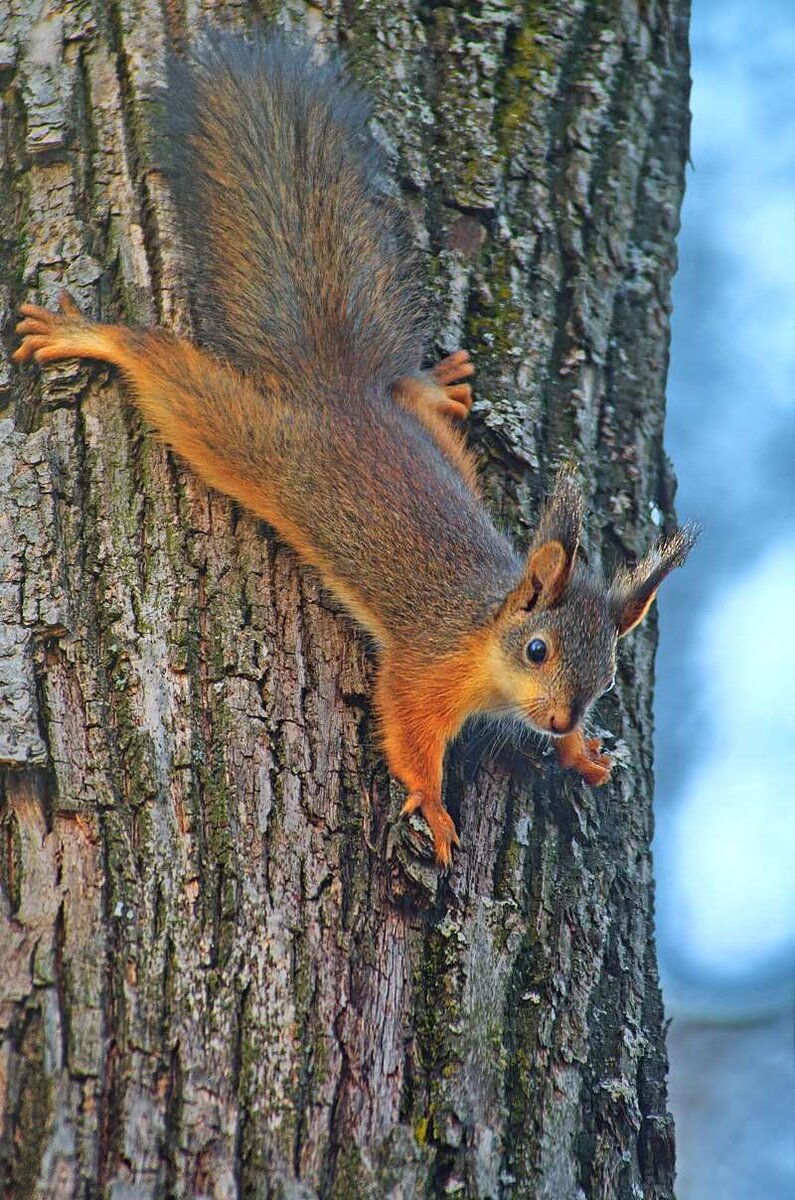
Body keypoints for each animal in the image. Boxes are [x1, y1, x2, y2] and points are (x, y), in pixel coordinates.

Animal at [12, 32, 696, 868]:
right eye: (537, 650)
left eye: (606, 675)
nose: (566, 718)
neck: (483, 637)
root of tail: (335, 387)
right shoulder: (422, 667)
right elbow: (404, 728)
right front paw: (432, 805)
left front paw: (575, 753)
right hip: (246, 440)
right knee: (165, 372)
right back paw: (93, 336)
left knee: (413, 403)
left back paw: (433, 387)